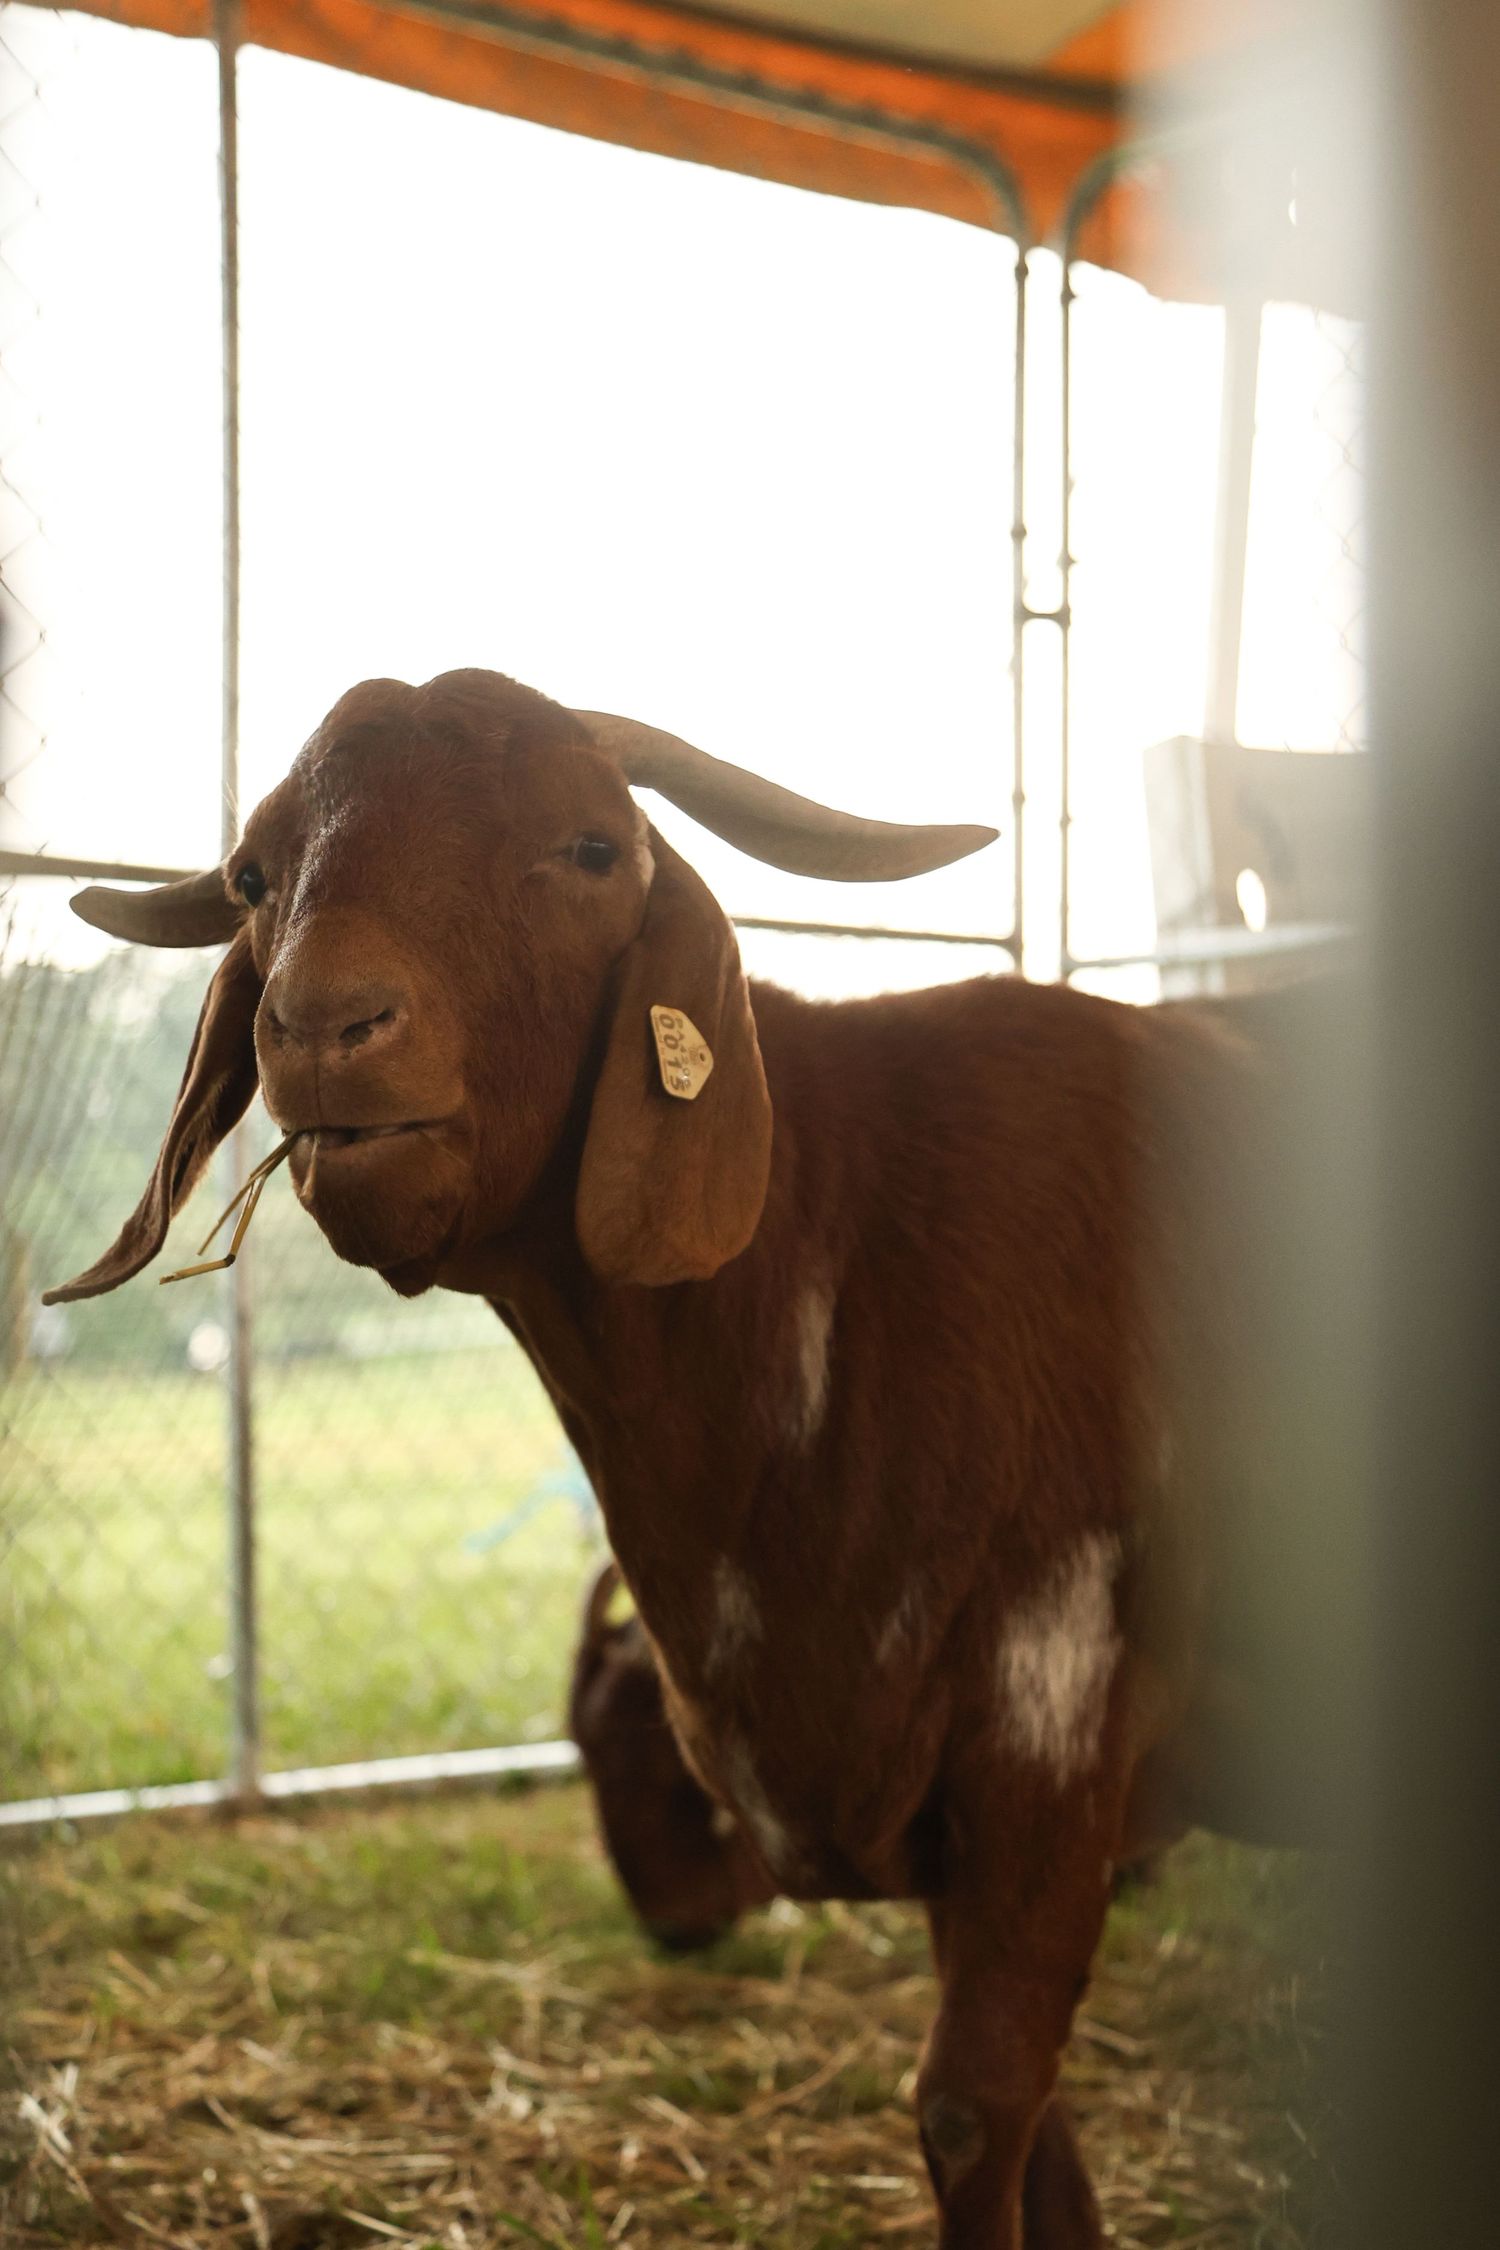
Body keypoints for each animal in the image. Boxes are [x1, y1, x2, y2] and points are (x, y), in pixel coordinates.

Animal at [47, 667, 1298, 2247]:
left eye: (593, 848)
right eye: (255, 876)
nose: (324, 1029)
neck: (839, 1239)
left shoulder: (1052, 1734)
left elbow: (971, 2106)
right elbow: (1040, 2136)